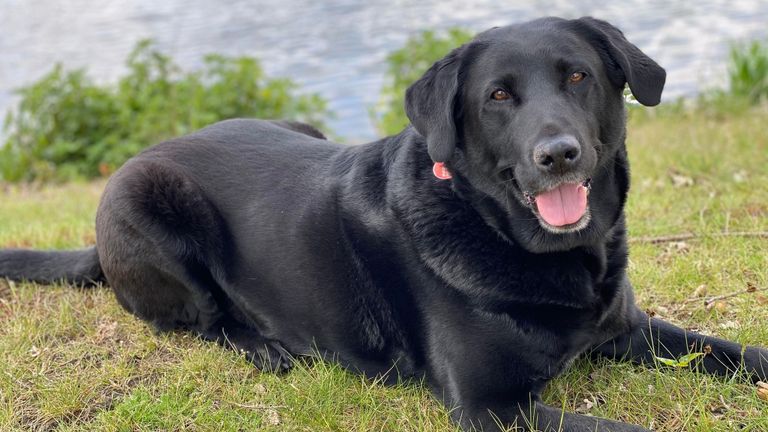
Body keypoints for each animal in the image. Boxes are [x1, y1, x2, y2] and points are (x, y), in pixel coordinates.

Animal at [1, 16, 768, 428]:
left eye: (578, 76)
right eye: (497, 97)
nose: (557, 154)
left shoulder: (630, 331)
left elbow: (731, 353)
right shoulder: (492, 407)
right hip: (150, 209)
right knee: (195, 320)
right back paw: (263, 346)